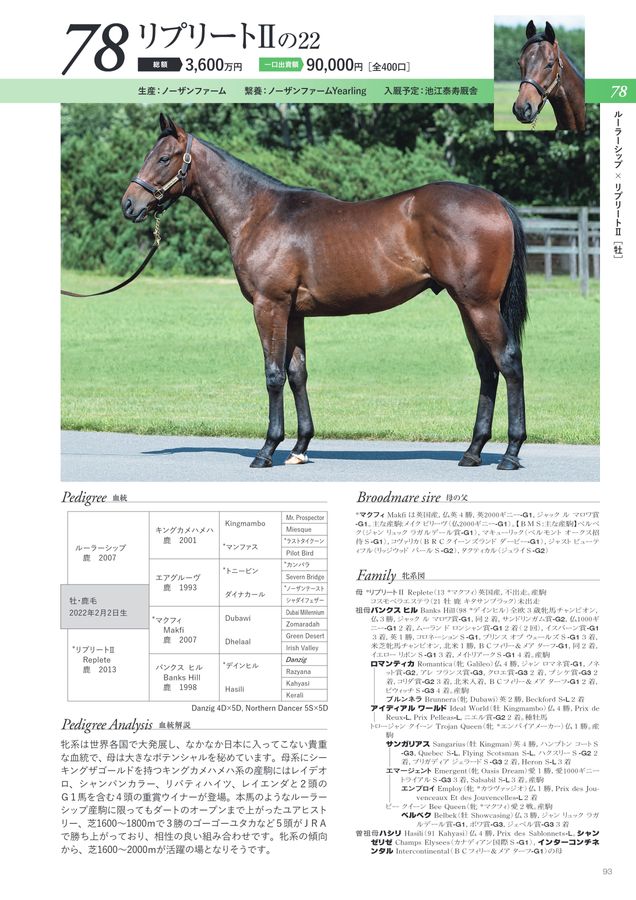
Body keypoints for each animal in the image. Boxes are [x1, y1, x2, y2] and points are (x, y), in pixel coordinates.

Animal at [121, 113, 528, 471]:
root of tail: (496, 202)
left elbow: (273, 374)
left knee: (508, 361)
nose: (129, 204)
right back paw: (473, 451)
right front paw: (299, 447)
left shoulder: (269, 306)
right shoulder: (293, 312)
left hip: (480, 306)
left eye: (163, 158)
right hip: (466, 306)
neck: (260, 215)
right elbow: (297, 373)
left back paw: (510, 453)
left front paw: (267, 450)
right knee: (487, 368)